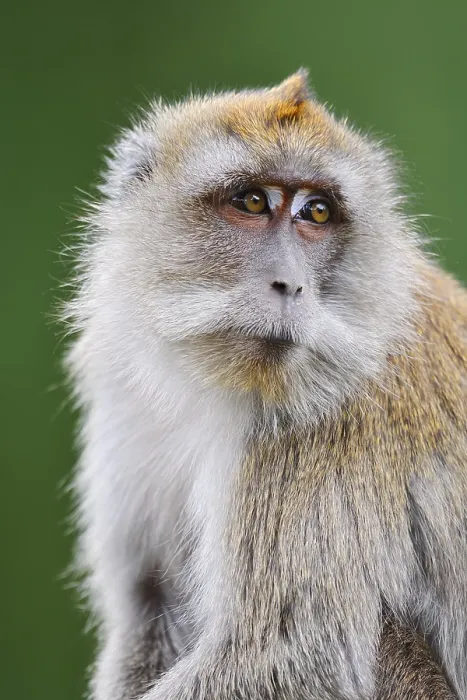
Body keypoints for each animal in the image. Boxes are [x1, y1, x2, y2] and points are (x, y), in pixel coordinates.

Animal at [64, 70, 467, 700]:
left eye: (316, 213)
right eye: (252, 201)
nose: (291, 284)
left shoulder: (321, 429)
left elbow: (285, 653)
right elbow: (148, 605)